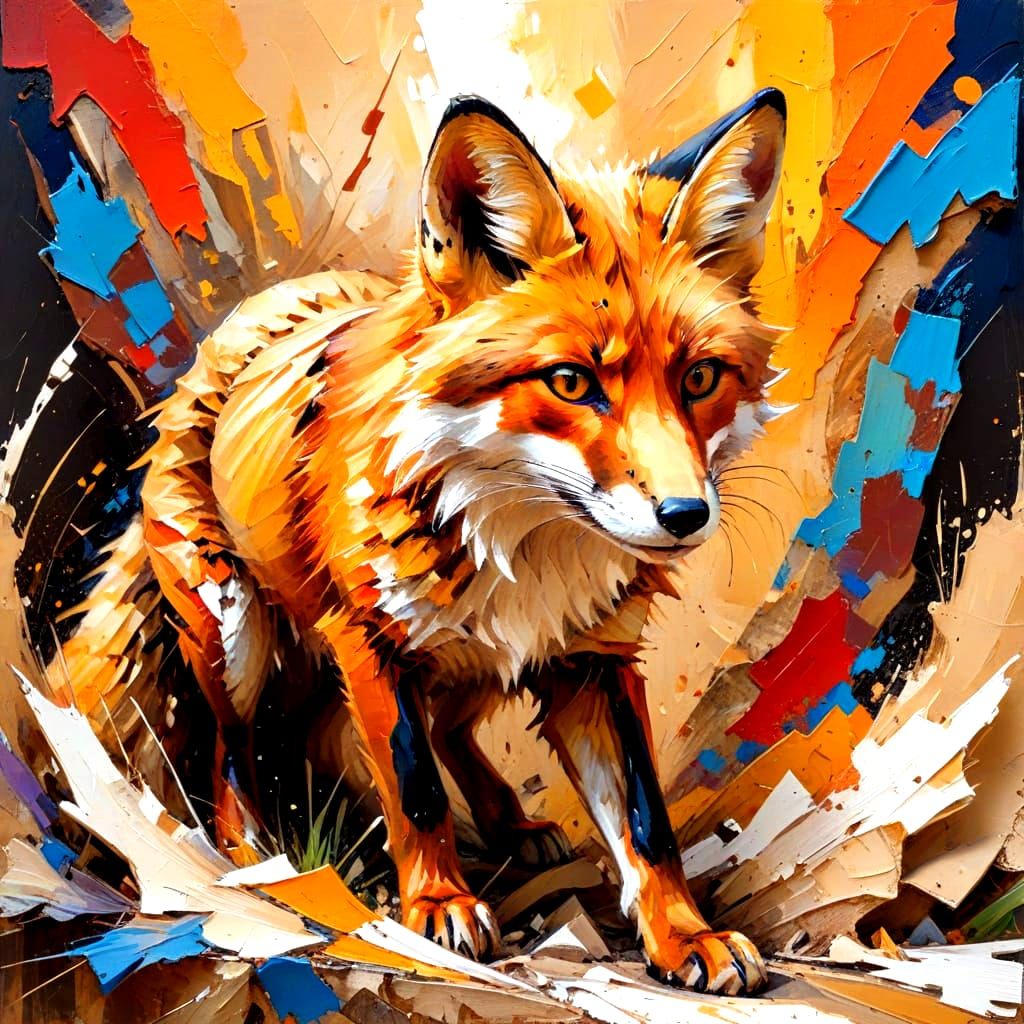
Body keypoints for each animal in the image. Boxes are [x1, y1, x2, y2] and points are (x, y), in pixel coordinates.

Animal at [51, 89, 786, 994]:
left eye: (700, 379)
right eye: (570, 382)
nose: (685, 514)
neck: (523, 552)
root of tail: (259, 312)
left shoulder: (592, 658)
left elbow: (647, 821)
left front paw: (685, 936)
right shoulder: (367, 639)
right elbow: (414, 788)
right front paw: (436, 905)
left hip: (467, 663)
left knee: (448, 732)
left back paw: (511, 826)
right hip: (234, 633)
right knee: (233, 751)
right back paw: (253, 855)